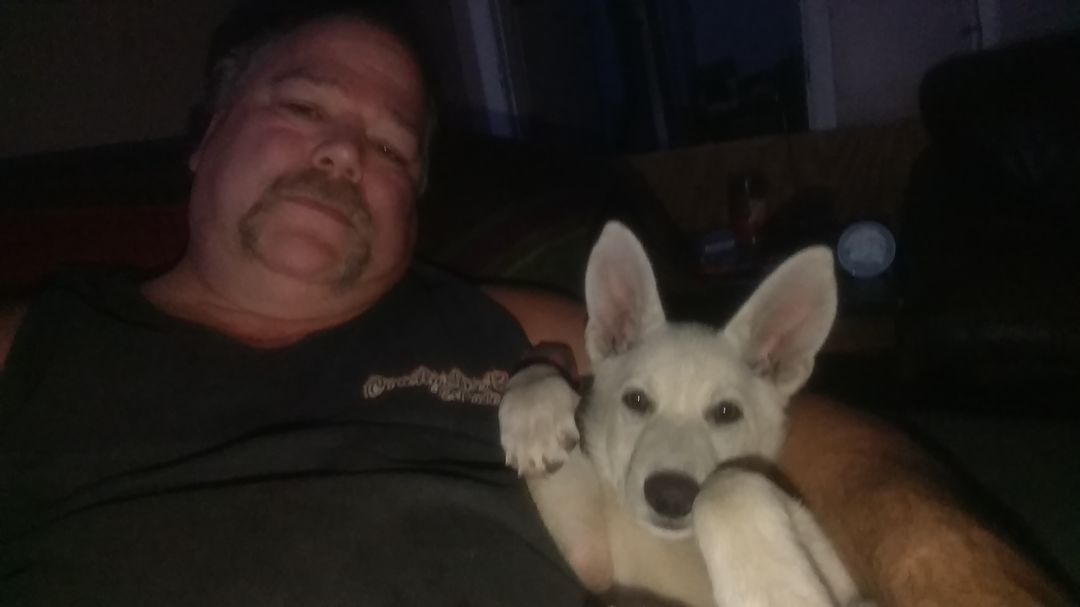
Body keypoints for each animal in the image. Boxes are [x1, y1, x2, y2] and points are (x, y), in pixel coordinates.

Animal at [500, 221, 869, 606]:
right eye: (636, 400)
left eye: (726, 412)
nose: (671, 497)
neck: (679, 548)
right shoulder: (592, 563)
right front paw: (535, 415)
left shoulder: (840, 578)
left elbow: (726, 486)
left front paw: (770, 589)